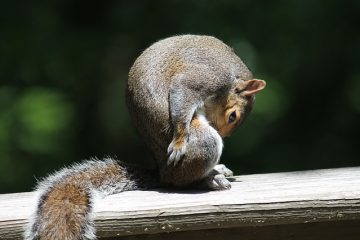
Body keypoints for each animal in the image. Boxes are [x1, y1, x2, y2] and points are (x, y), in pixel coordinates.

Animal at [24, 34, 264, 239]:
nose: (224, 134)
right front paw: (179, 140)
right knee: (181, 181)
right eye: (233, 116)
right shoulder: (206, 77)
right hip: (202, 143)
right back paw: (208, 178)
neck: (232, 77)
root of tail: (162, 172)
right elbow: (182, 95)